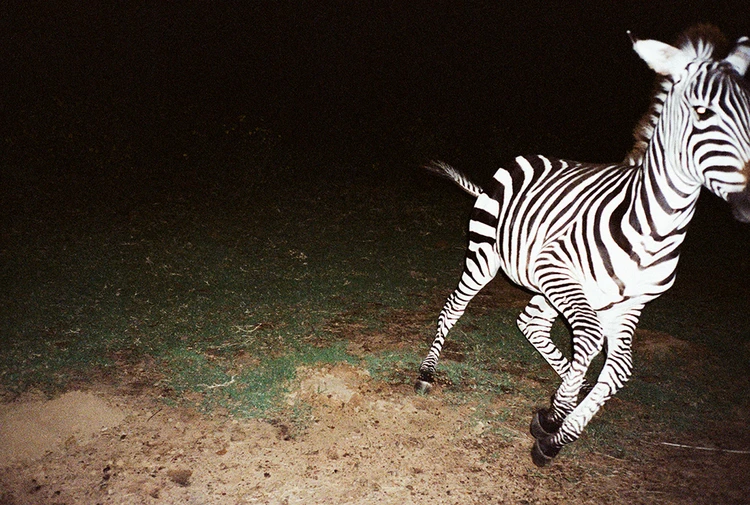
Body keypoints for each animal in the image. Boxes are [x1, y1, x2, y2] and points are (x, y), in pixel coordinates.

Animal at [415, 25, 750, 467]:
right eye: (701, 112)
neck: (655, 227)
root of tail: (525, 159)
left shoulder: (629, 304)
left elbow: (618, 366)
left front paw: (557, 429)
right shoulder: (560, 270)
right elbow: (590, 341)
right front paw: (554, 417)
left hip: (554, 288)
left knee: (533, 323)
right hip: (491, 256)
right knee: (457, 307)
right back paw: (426, 372)